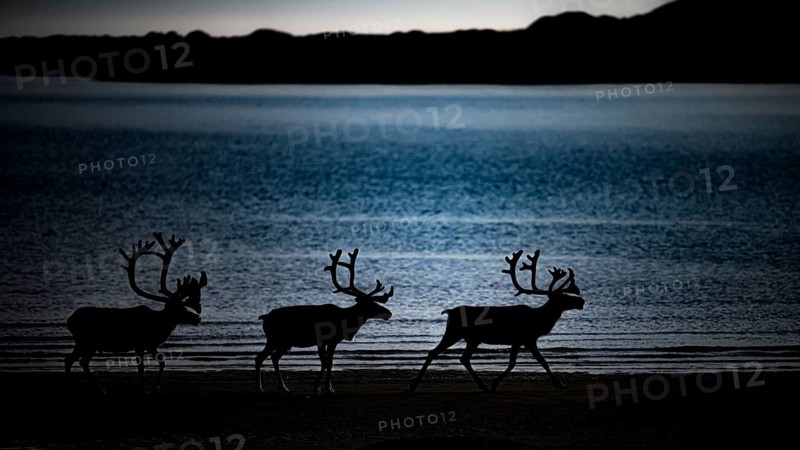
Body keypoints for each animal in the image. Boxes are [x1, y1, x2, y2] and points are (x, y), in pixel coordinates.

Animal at [65, 232, 207, 393]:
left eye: (184, 307)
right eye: (179, 309)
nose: (197, 318)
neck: (160, 325)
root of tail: (69, 321)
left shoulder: (151, 345)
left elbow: (162, 362)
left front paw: (156, 386)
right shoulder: (139, 344)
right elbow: (141, 368)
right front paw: (143, 387)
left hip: (86, 343)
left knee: (75, 360)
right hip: (87, 342)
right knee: (76, 360)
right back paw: (91, 387)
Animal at [256, 248, 394, 394]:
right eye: (370, 304)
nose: (389, 312)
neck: (346, 320)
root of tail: (264, 317)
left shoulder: (333, 342)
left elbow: (330, 363)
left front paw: (329, 387)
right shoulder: (321, 340)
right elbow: (325, 363)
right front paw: (318, 387)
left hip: (284, 343)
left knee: (274, 357)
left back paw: (283, 387)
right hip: (274, 339)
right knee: (260, 357)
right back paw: (260, 388)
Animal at [409, 249, 585, 392]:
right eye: (563, 297)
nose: (581, 301)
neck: (540, 320)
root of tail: (449, 312)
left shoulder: (522, 340)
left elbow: (528, 362)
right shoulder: (525, 338)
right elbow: (533, 362)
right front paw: (559, 383)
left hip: (470, 338)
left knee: (457, 357)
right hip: (455, 333)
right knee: (441, 354)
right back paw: (415, 385)